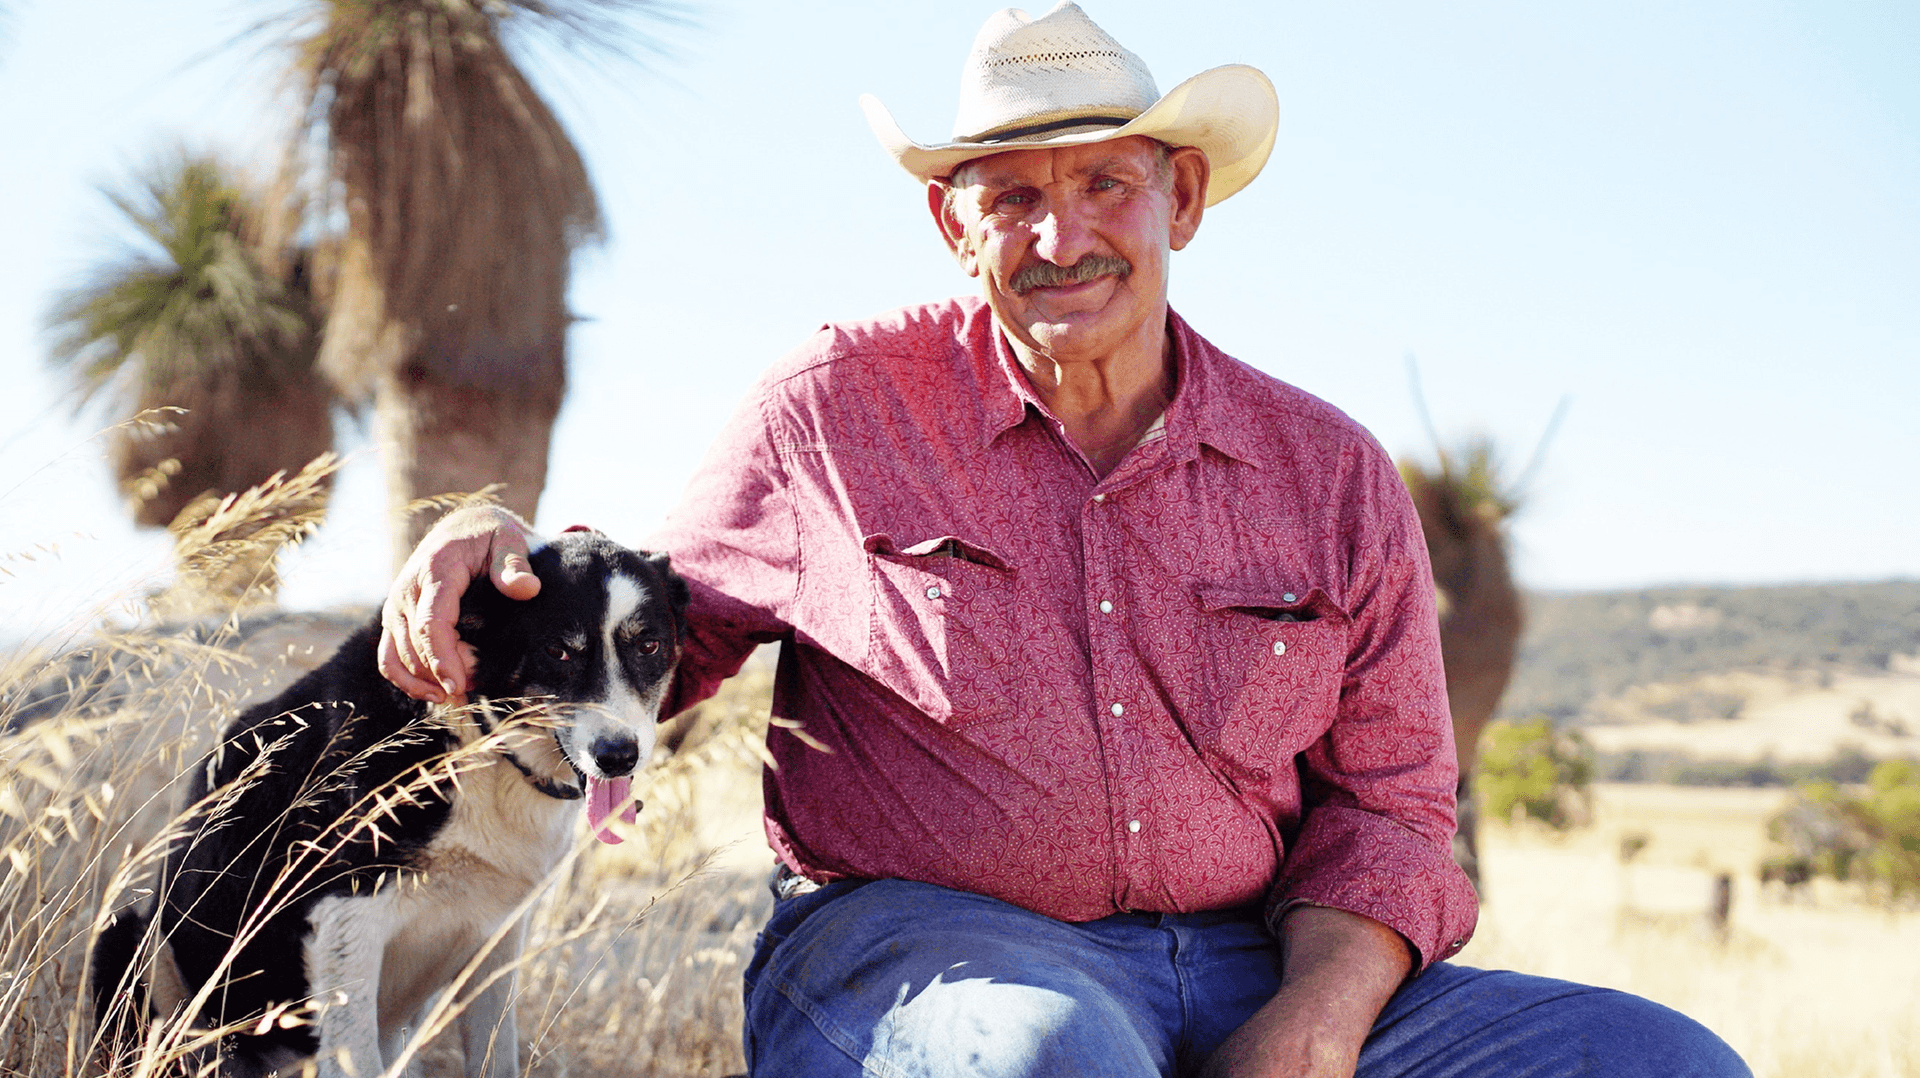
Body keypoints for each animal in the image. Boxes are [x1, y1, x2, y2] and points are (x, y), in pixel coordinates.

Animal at [93, 530, 691, 1076]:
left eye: (650, 646)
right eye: (558, 651)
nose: (618, 756)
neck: (480, 745)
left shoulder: (495, 943)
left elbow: (496, 1057)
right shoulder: (345, 918)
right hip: (132, 944)